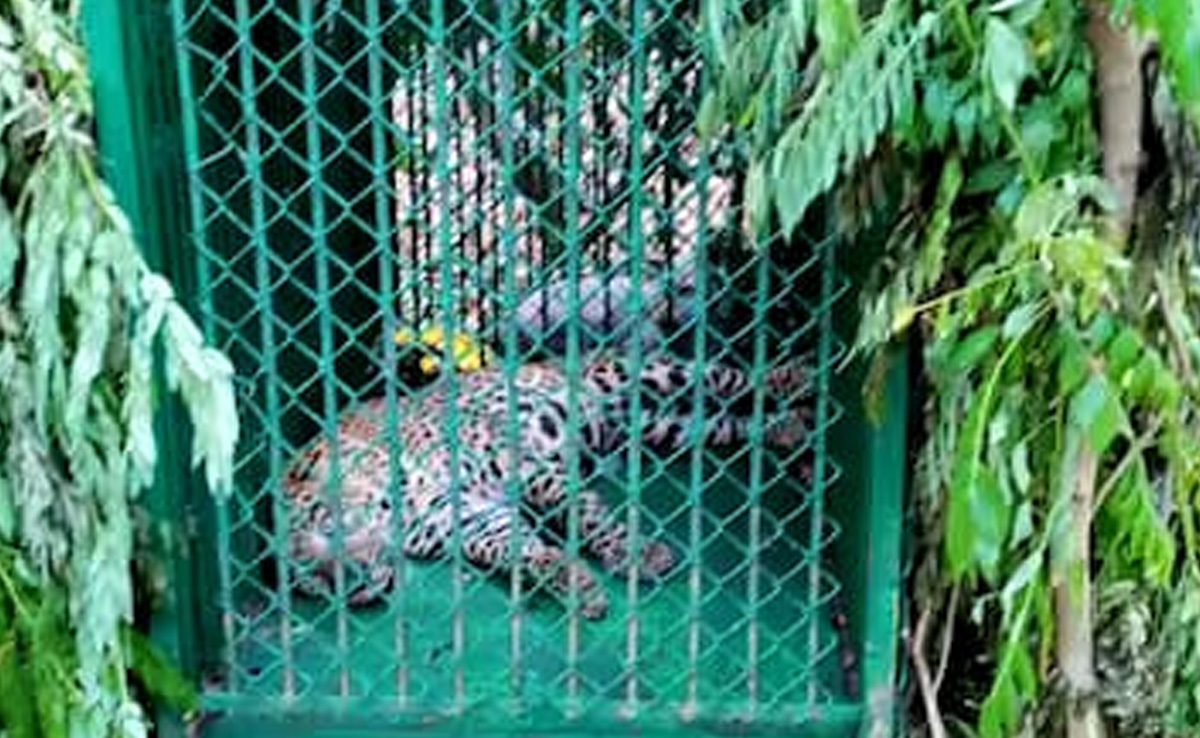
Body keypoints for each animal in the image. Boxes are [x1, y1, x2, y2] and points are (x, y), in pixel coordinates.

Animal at [282, 352, 813, 620]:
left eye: (329, 527)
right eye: (309, 578)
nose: (351, 586)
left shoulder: (522, 464)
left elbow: (583, 514)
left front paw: (636, 555)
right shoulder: (474, 520)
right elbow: (522, 550)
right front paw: (578, 585)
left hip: (648, 374)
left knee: (739, 377)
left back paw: (800, 380)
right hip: (672, 425)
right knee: (736, 420)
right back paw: (790, 430)